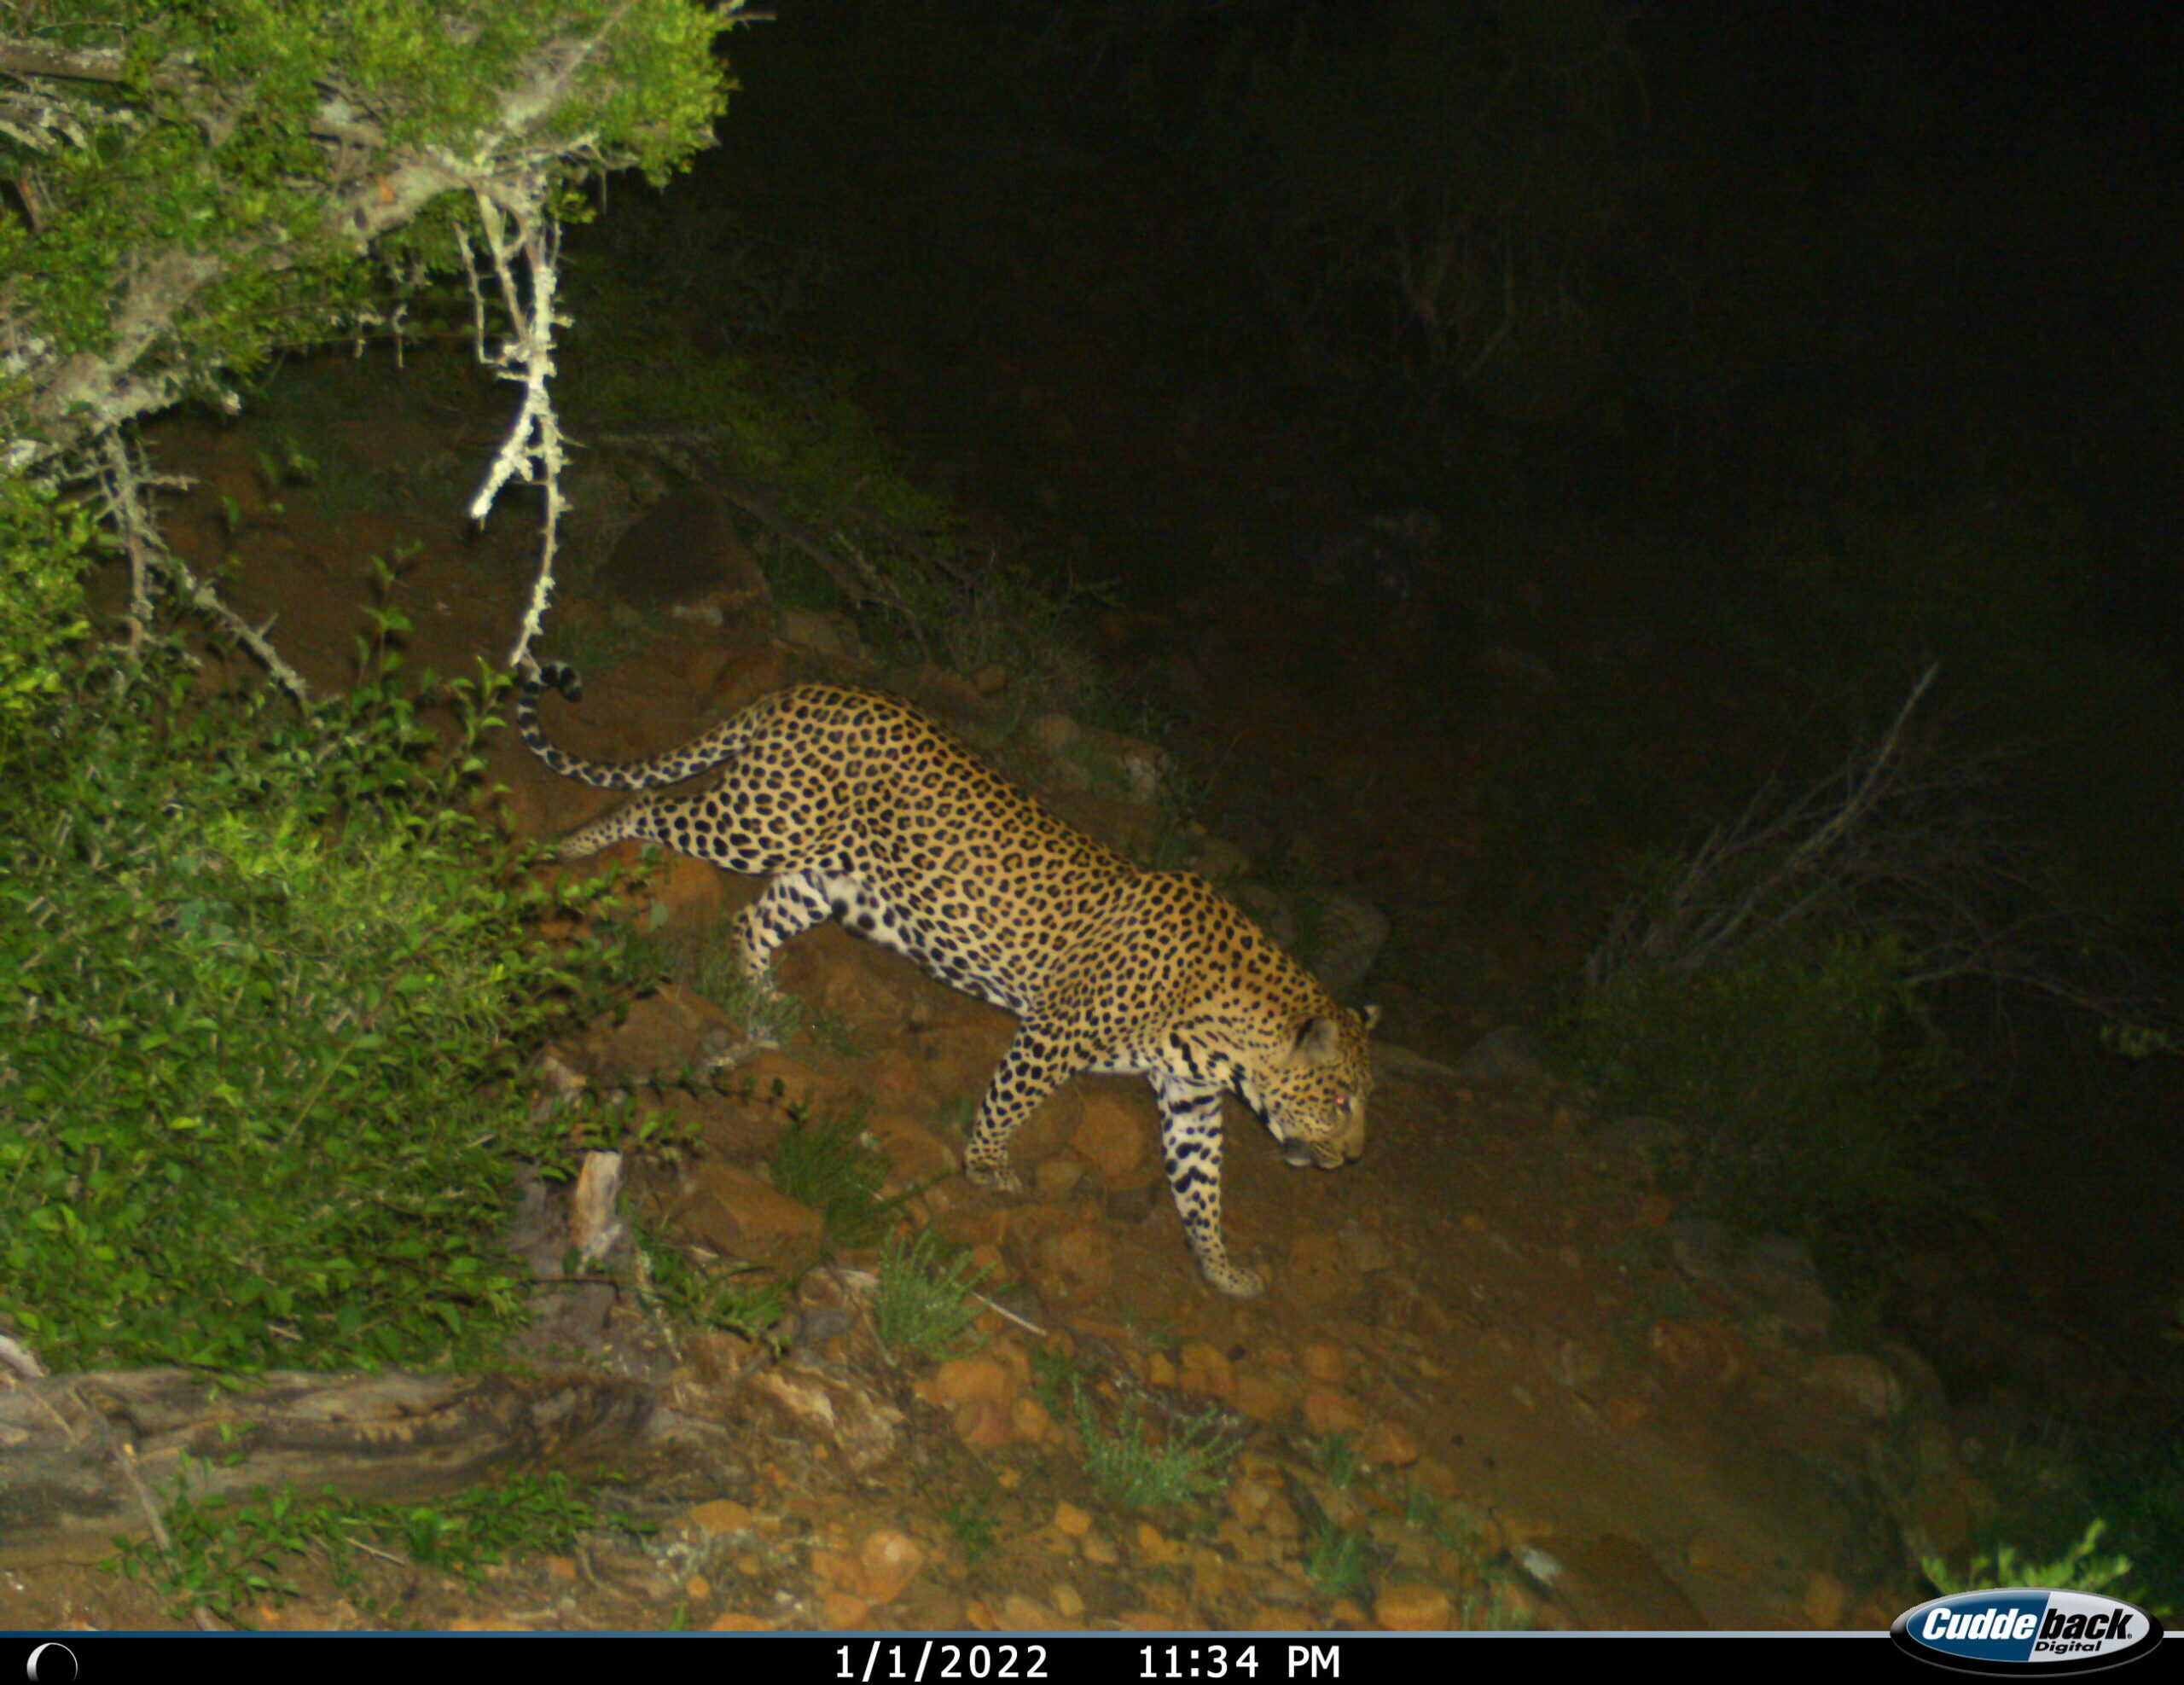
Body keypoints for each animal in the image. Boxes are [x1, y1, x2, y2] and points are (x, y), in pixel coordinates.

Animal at [515, 662, 1378, 1297]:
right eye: (1340, 1100)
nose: (1352, 1160)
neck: (1227, 1037)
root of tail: (809, 689)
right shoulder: (1055, 1034)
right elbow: (1010, 1100)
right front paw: (986, 1166)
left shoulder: (1191, 1100)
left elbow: (1202, 1189)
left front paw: (1223, 1268)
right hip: (760, 820)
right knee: (650, 800)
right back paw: (569, 849)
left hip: (823, 877)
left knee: (753, 920)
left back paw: (762, 997)